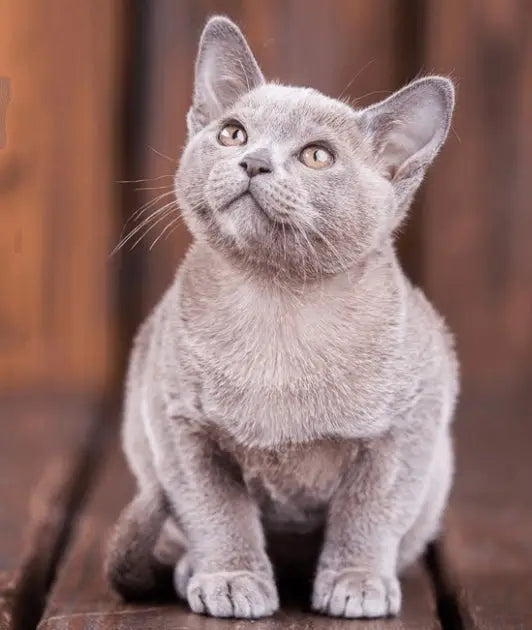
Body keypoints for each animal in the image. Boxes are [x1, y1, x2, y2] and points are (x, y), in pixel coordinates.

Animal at [104, 14, 458, 624]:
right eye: (233, 134)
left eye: (317, 156)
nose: (253, 162)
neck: (278, 308)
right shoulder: (180, 427)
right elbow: (220, 514)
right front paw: (231, 580)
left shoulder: (409, 424)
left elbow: (368, 514)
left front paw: (357, 583)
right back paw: (190, 570)